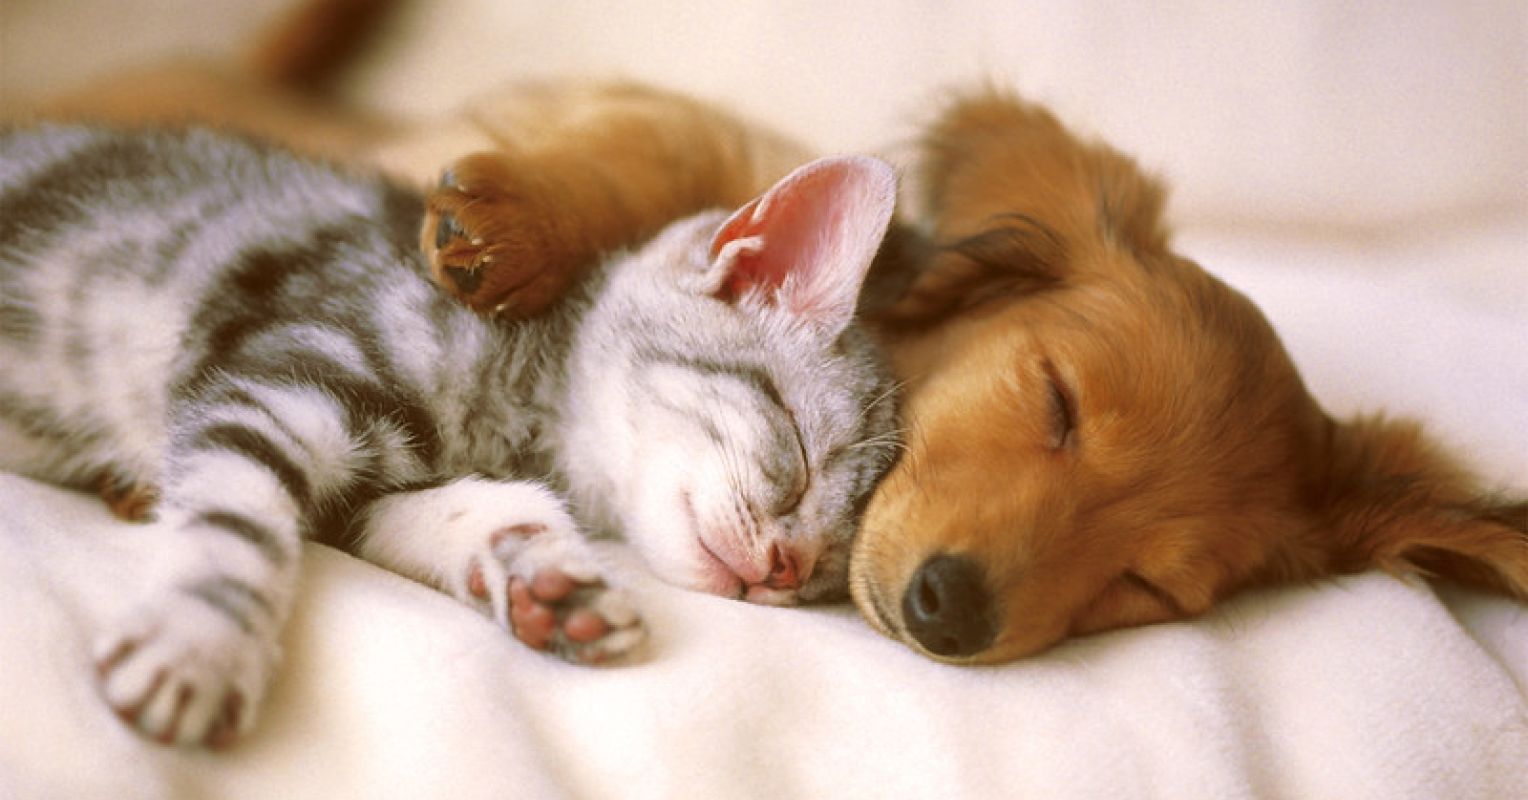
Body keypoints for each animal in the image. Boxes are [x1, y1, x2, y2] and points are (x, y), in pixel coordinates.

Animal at [0, 123, 898, 745]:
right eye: (799, 454)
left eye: (828, 570)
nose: (787, 567)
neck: (518, 410)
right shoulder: (276, 380)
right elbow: (237, 519)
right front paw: (201, 639)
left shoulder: (364, 487)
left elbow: (472, 508)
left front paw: (546, 577)